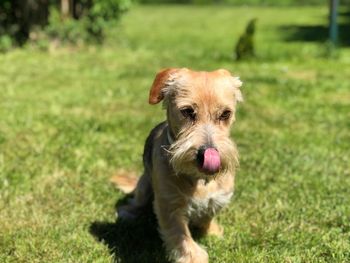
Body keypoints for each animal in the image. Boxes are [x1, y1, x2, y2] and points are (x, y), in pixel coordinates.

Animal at [112, 68, 243, 263]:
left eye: (225, 114)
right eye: (187, 111)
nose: (207, 153)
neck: (197, 180)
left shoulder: (220, 196)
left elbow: (208, 215)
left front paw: (212, 233)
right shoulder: (168, 203)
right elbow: (180, 235)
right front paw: (195, 256)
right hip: (144, 184)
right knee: (137, 201)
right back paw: (129, 212)